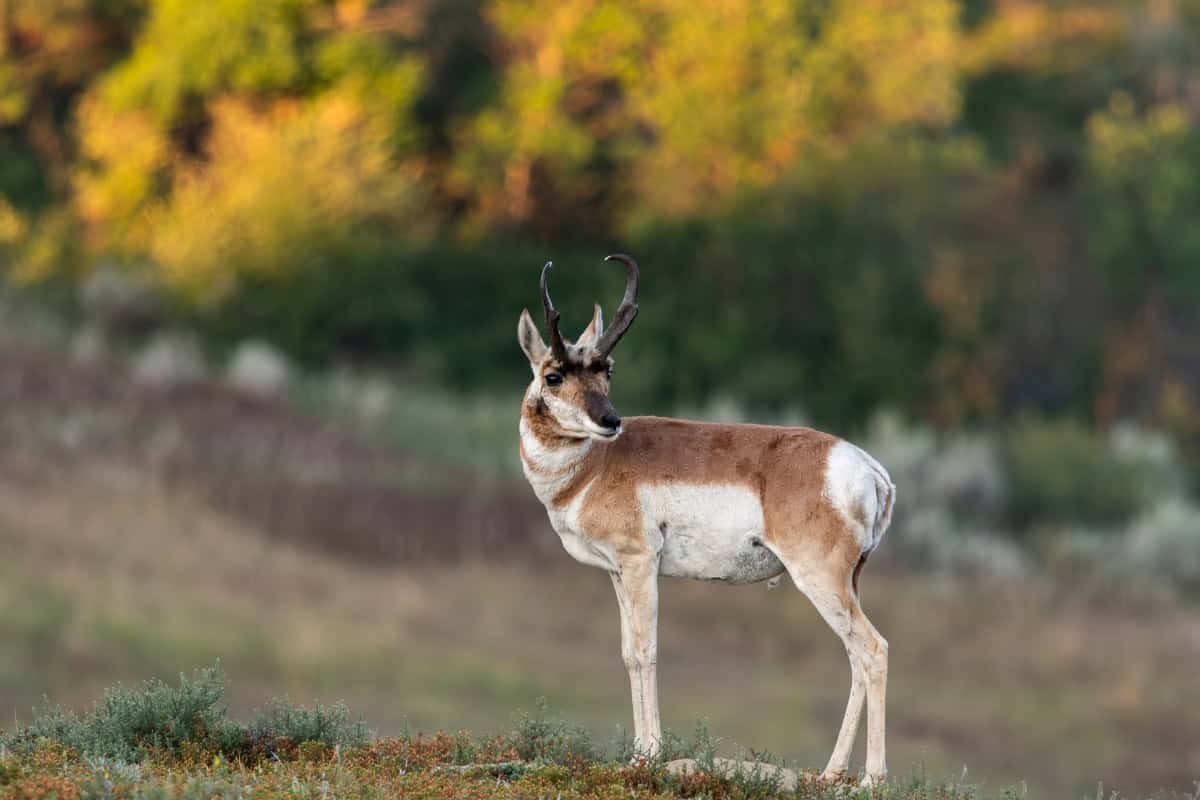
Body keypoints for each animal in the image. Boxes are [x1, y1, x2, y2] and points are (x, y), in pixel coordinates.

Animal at [517, 255, 896, 785]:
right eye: (554, 375)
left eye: (606, 369)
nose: (610, 421)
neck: (596, 463)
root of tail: (863, 465)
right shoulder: (617, 573)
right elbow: (627, 653)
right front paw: (639, 751)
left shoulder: (639, 564)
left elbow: (646, 650)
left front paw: (648, 755)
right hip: (848, 583)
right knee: (855, 657)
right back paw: (830, 773)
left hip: (819, 579)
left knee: (873, 649)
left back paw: (870, 778)